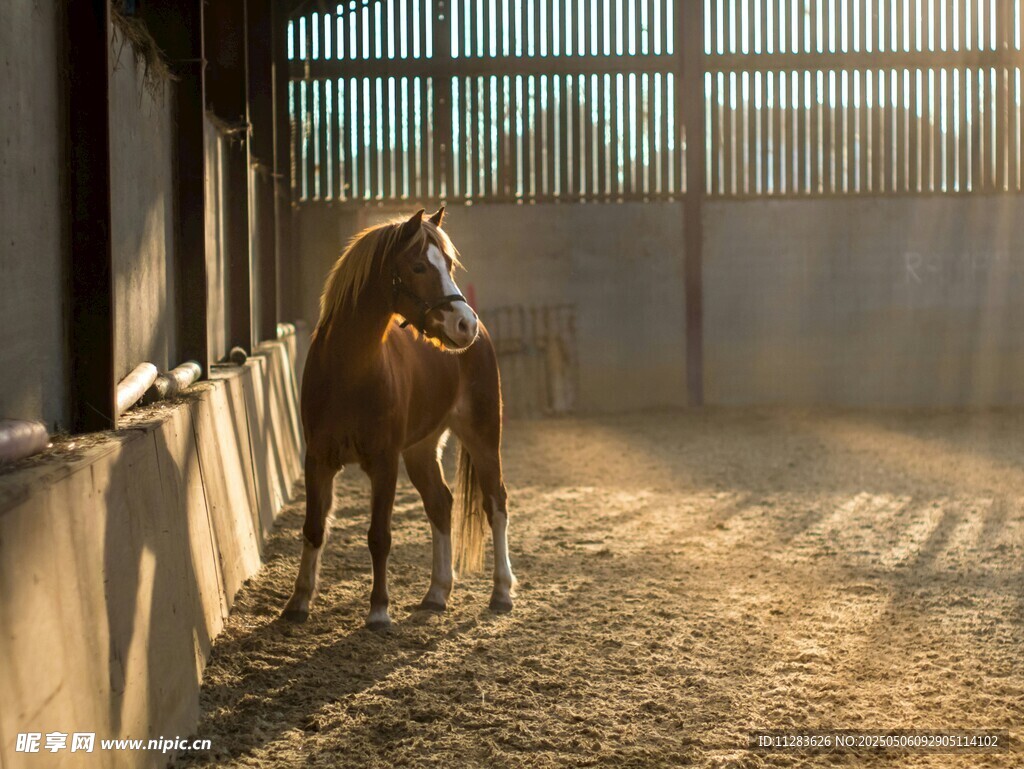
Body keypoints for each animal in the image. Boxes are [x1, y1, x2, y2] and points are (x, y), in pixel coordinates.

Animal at [282, 207, 516, 630]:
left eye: (449, 264)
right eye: (419, 266)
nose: (464, 324)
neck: (349, 370)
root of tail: (484, 336)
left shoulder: (384, 462)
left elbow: (379, 535)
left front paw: (378, 611)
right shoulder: (318, 459)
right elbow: (313, 528)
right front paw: (298, 602)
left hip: (483, 437)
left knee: (496, 503)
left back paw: (502, 592)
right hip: (421, 450)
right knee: (441, 504)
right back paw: (437, 593)